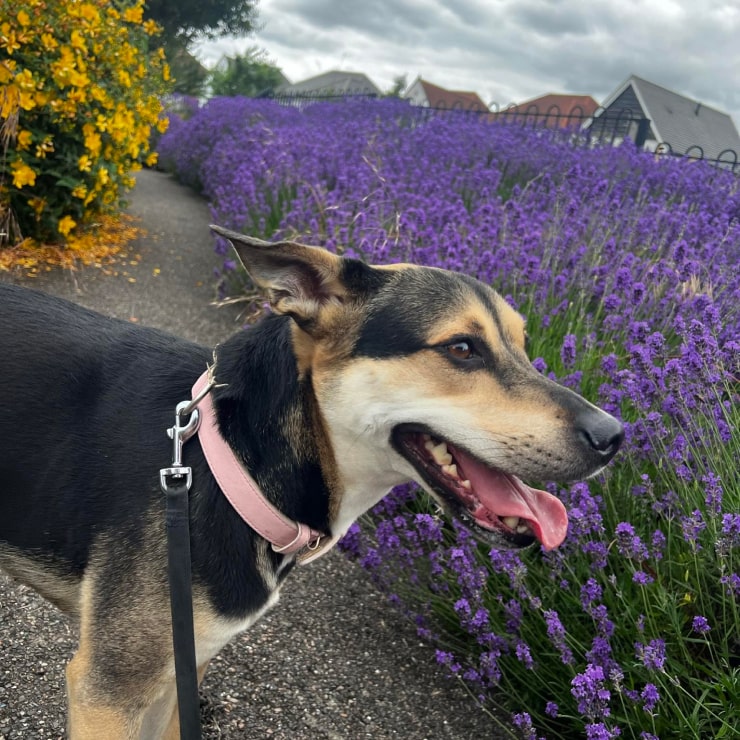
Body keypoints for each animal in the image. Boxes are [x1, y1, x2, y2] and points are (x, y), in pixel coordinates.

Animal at [1, 227, 624, 740]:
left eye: (523, 346)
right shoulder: (110, 692)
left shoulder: (182, 666)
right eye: (461, 348)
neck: (230, 464)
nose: (615, 436)